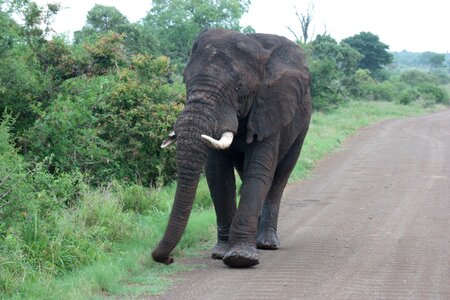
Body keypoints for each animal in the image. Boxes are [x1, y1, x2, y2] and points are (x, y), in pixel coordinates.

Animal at [153, 28, 312, 268]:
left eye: (239, 87)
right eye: (184, 80)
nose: (168, 259)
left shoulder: (269, 108)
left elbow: (259, 170)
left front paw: (240, 258)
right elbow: (218, 175)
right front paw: (221, 252)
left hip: (301, 124)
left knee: (279, 177)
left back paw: (266, 243)